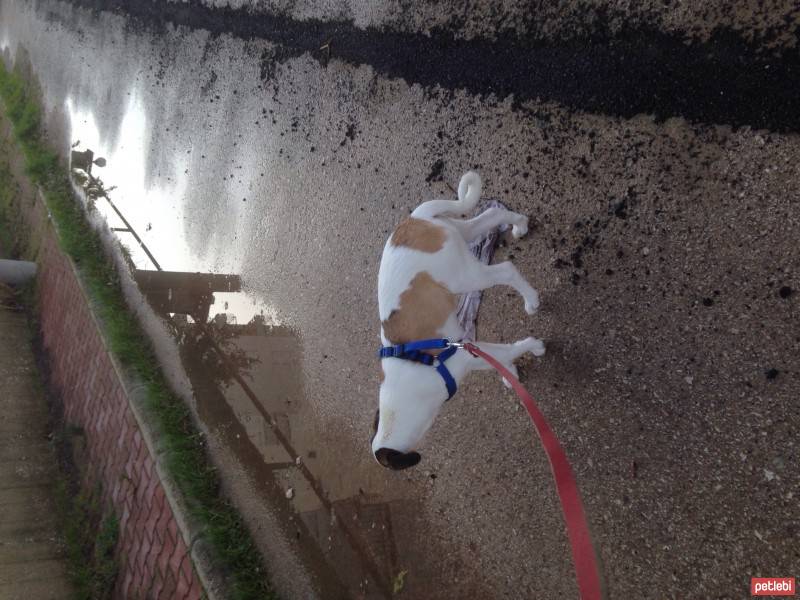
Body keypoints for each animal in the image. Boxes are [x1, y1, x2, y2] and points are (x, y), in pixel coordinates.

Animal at [374, 171, 548, 472]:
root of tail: (415, 218)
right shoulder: (469, 348)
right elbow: (500, 359)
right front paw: (511, 374)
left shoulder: (465, 355)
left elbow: (507, 351)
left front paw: (533, 347)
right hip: (459, 235)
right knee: (491, 216)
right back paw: (520, 225)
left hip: (465, 276)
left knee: (507, 270)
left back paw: (531, 299)